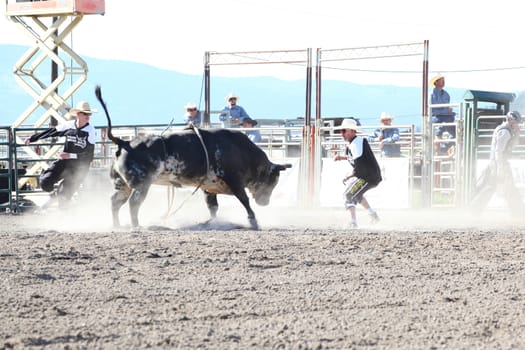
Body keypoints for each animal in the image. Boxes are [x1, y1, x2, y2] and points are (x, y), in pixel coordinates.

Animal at [94, 87, 290, 230]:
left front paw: (212, 223)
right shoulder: (235, 180)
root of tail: (124, 142)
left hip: (123, 184)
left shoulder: (209, 187)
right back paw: (137, 226)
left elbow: (213, 207)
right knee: (133, 204)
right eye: (274, 180)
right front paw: (254, 221)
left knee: (115, 202)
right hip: (142, 184)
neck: (242, 151)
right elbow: (244, 200)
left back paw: (118, 225)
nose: (265, 203)